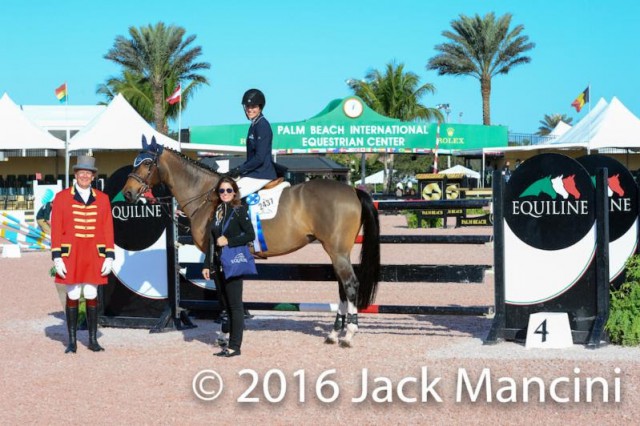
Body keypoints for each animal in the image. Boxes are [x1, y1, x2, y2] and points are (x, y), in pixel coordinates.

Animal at [122, 136, 380, 346]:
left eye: (147, 163)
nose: (127, 193)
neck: (206, 196)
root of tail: (352, 191)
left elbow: (223, 297)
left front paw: (225, 334)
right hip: (338, 252)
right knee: (342, 288)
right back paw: (334, 334)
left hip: (337, 251)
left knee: (350, 285)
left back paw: (348, 335)